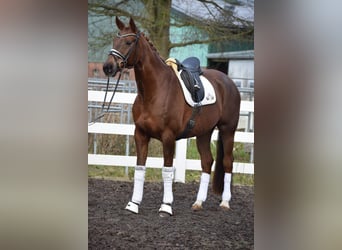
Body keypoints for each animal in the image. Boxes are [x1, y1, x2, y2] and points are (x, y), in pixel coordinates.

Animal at [103, 17, 239, 217]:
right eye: (114, 40)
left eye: (128, 42)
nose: (107, 67)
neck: (155, 91)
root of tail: (228, 81)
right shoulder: (140, 135)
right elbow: (139, 168)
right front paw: (133, 204)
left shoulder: (168, 137)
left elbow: (167, 170)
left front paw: (166, 206)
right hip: (204, 133)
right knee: (207, 162)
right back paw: (198, 202)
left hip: (228, 130)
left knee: (228, 162)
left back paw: (225, 202)